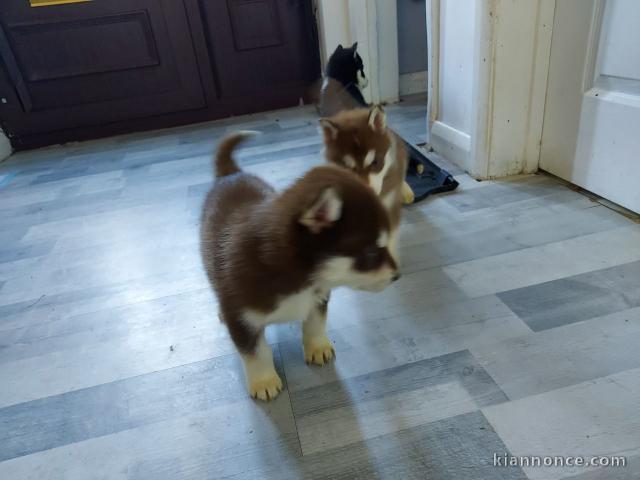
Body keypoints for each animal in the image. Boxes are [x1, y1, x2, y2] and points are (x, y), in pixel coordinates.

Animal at [200, 132, 400, 402]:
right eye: (370, 253)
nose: (397, 275)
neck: (303, 280)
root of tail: (231, 173)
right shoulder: (242, 318)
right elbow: (256, 353)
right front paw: (264, 380)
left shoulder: (319, 296)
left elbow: (315, 323)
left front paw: (317, 346)